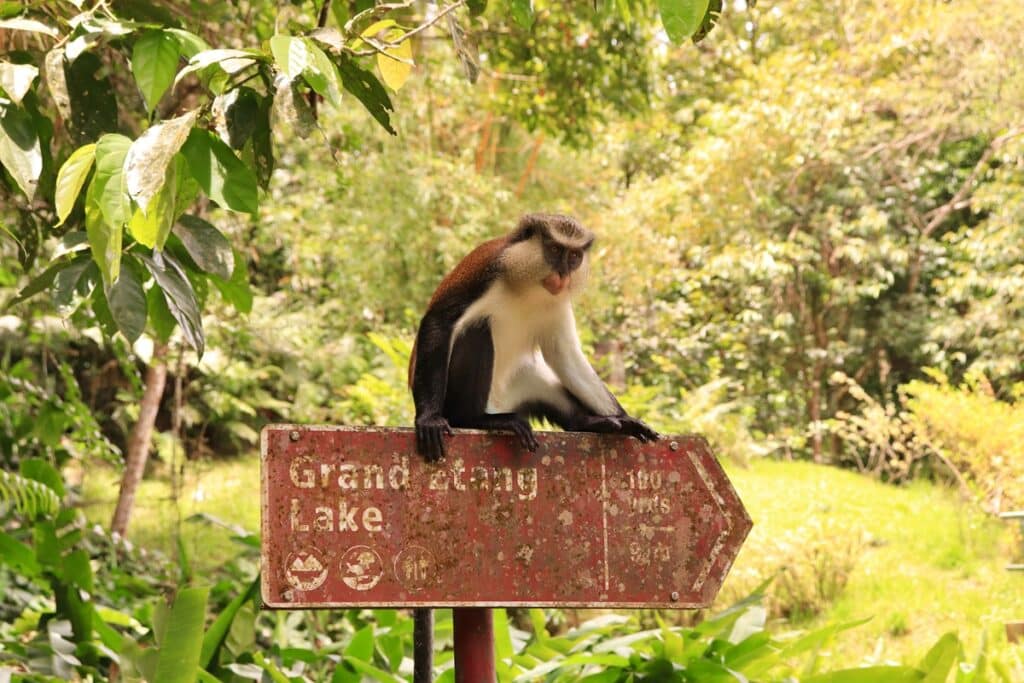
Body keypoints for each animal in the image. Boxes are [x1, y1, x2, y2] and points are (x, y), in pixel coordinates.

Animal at [407, 210, 655, 462]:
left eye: (574, 256)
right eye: (554, 250)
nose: (562, 274)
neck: (530, 286)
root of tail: (496, 405)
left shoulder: (558, 304)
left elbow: (564, 355)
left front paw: (627, 420)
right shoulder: (487, 273)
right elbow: (439, 321)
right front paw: (429, 419)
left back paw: (589, 422)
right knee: (477, 329)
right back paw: (475, 419)